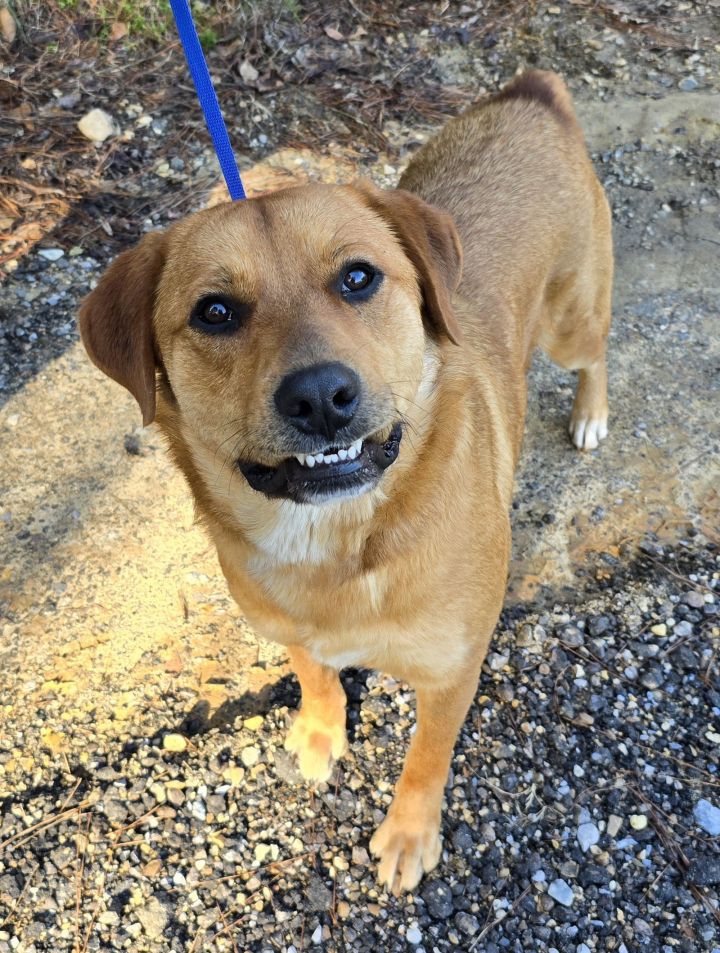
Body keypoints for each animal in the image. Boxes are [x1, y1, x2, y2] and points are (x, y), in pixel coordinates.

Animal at [80, 69, 612, 892]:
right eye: (215, 311)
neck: (337, 544)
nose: (320, 398)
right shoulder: (289, 628)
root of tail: (531, 93)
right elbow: (314, 673)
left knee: (596, 354)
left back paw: (591, 415)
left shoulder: (453, 671)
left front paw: (408, 835)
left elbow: (426, 759)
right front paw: (321, 729)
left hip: (571, 322)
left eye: (358, 276)